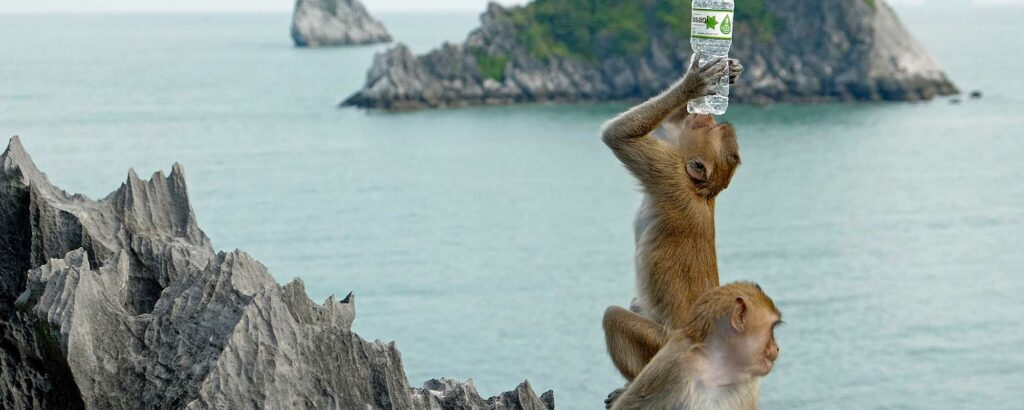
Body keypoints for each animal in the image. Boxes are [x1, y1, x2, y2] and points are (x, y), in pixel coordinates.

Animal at [600, 52, 744, 382]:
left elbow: (619, 136)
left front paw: (693, 84)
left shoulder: (665, 172)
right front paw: (726, 73)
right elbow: (666, 127)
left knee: (613, 316)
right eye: (713, 126)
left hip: (661, 348)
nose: (706, 117)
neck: (701, 192)